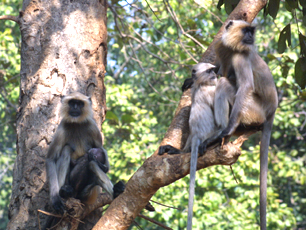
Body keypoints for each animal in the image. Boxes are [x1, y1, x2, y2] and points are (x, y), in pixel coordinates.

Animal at [212, 20, 278, 229]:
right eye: (246, 31)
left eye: (251, 31)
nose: (250, 37)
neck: (232, 48)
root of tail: (272, 112)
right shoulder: (221, 48)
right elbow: (222, 71)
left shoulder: (241, 57)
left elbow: (245, 86)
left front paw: (229, 129)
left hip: (253, 110)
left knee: (225, 84)